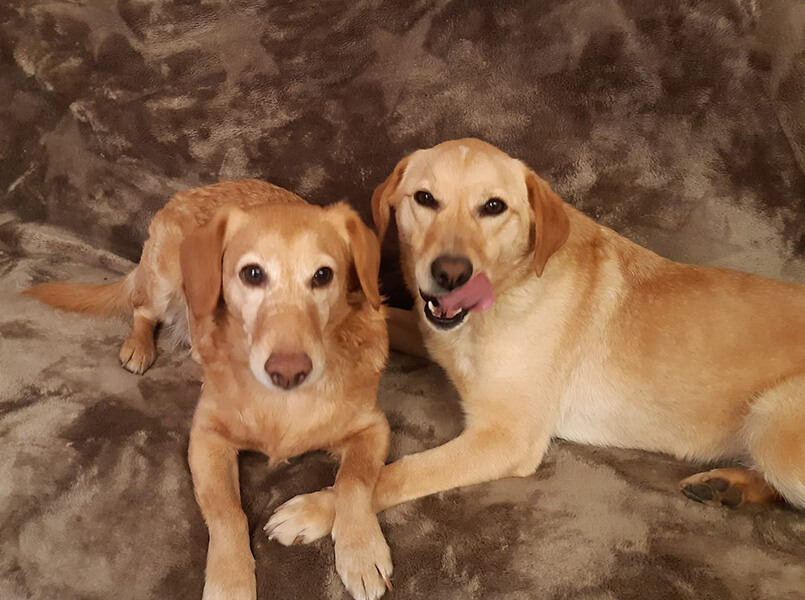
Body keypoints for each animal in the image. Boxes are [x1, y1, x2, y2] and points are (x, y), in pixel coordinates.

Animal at [26, 180, 394, 600]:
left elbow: (353, 481)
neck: (283, 404)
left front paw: (361, 550)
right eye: (252, 273)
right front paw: (231, 580)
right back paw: (138, 346)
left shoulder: (374, 428)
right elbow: (227, 511)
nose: (288, 371)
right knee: (141, 309)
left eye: (322, 276)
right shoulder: (206, 437)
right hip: (164, 280)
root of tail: (192, 191)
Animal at [264, 138, 805, 548]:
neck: (504, 297)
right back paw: (727, 487)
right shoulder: (427, 330)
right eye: (425, 198)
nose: (451, 273)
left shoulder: (506, 437)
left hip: (774, 423)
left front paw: (318, 508)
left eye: (494, 207)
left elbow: (396, 473)